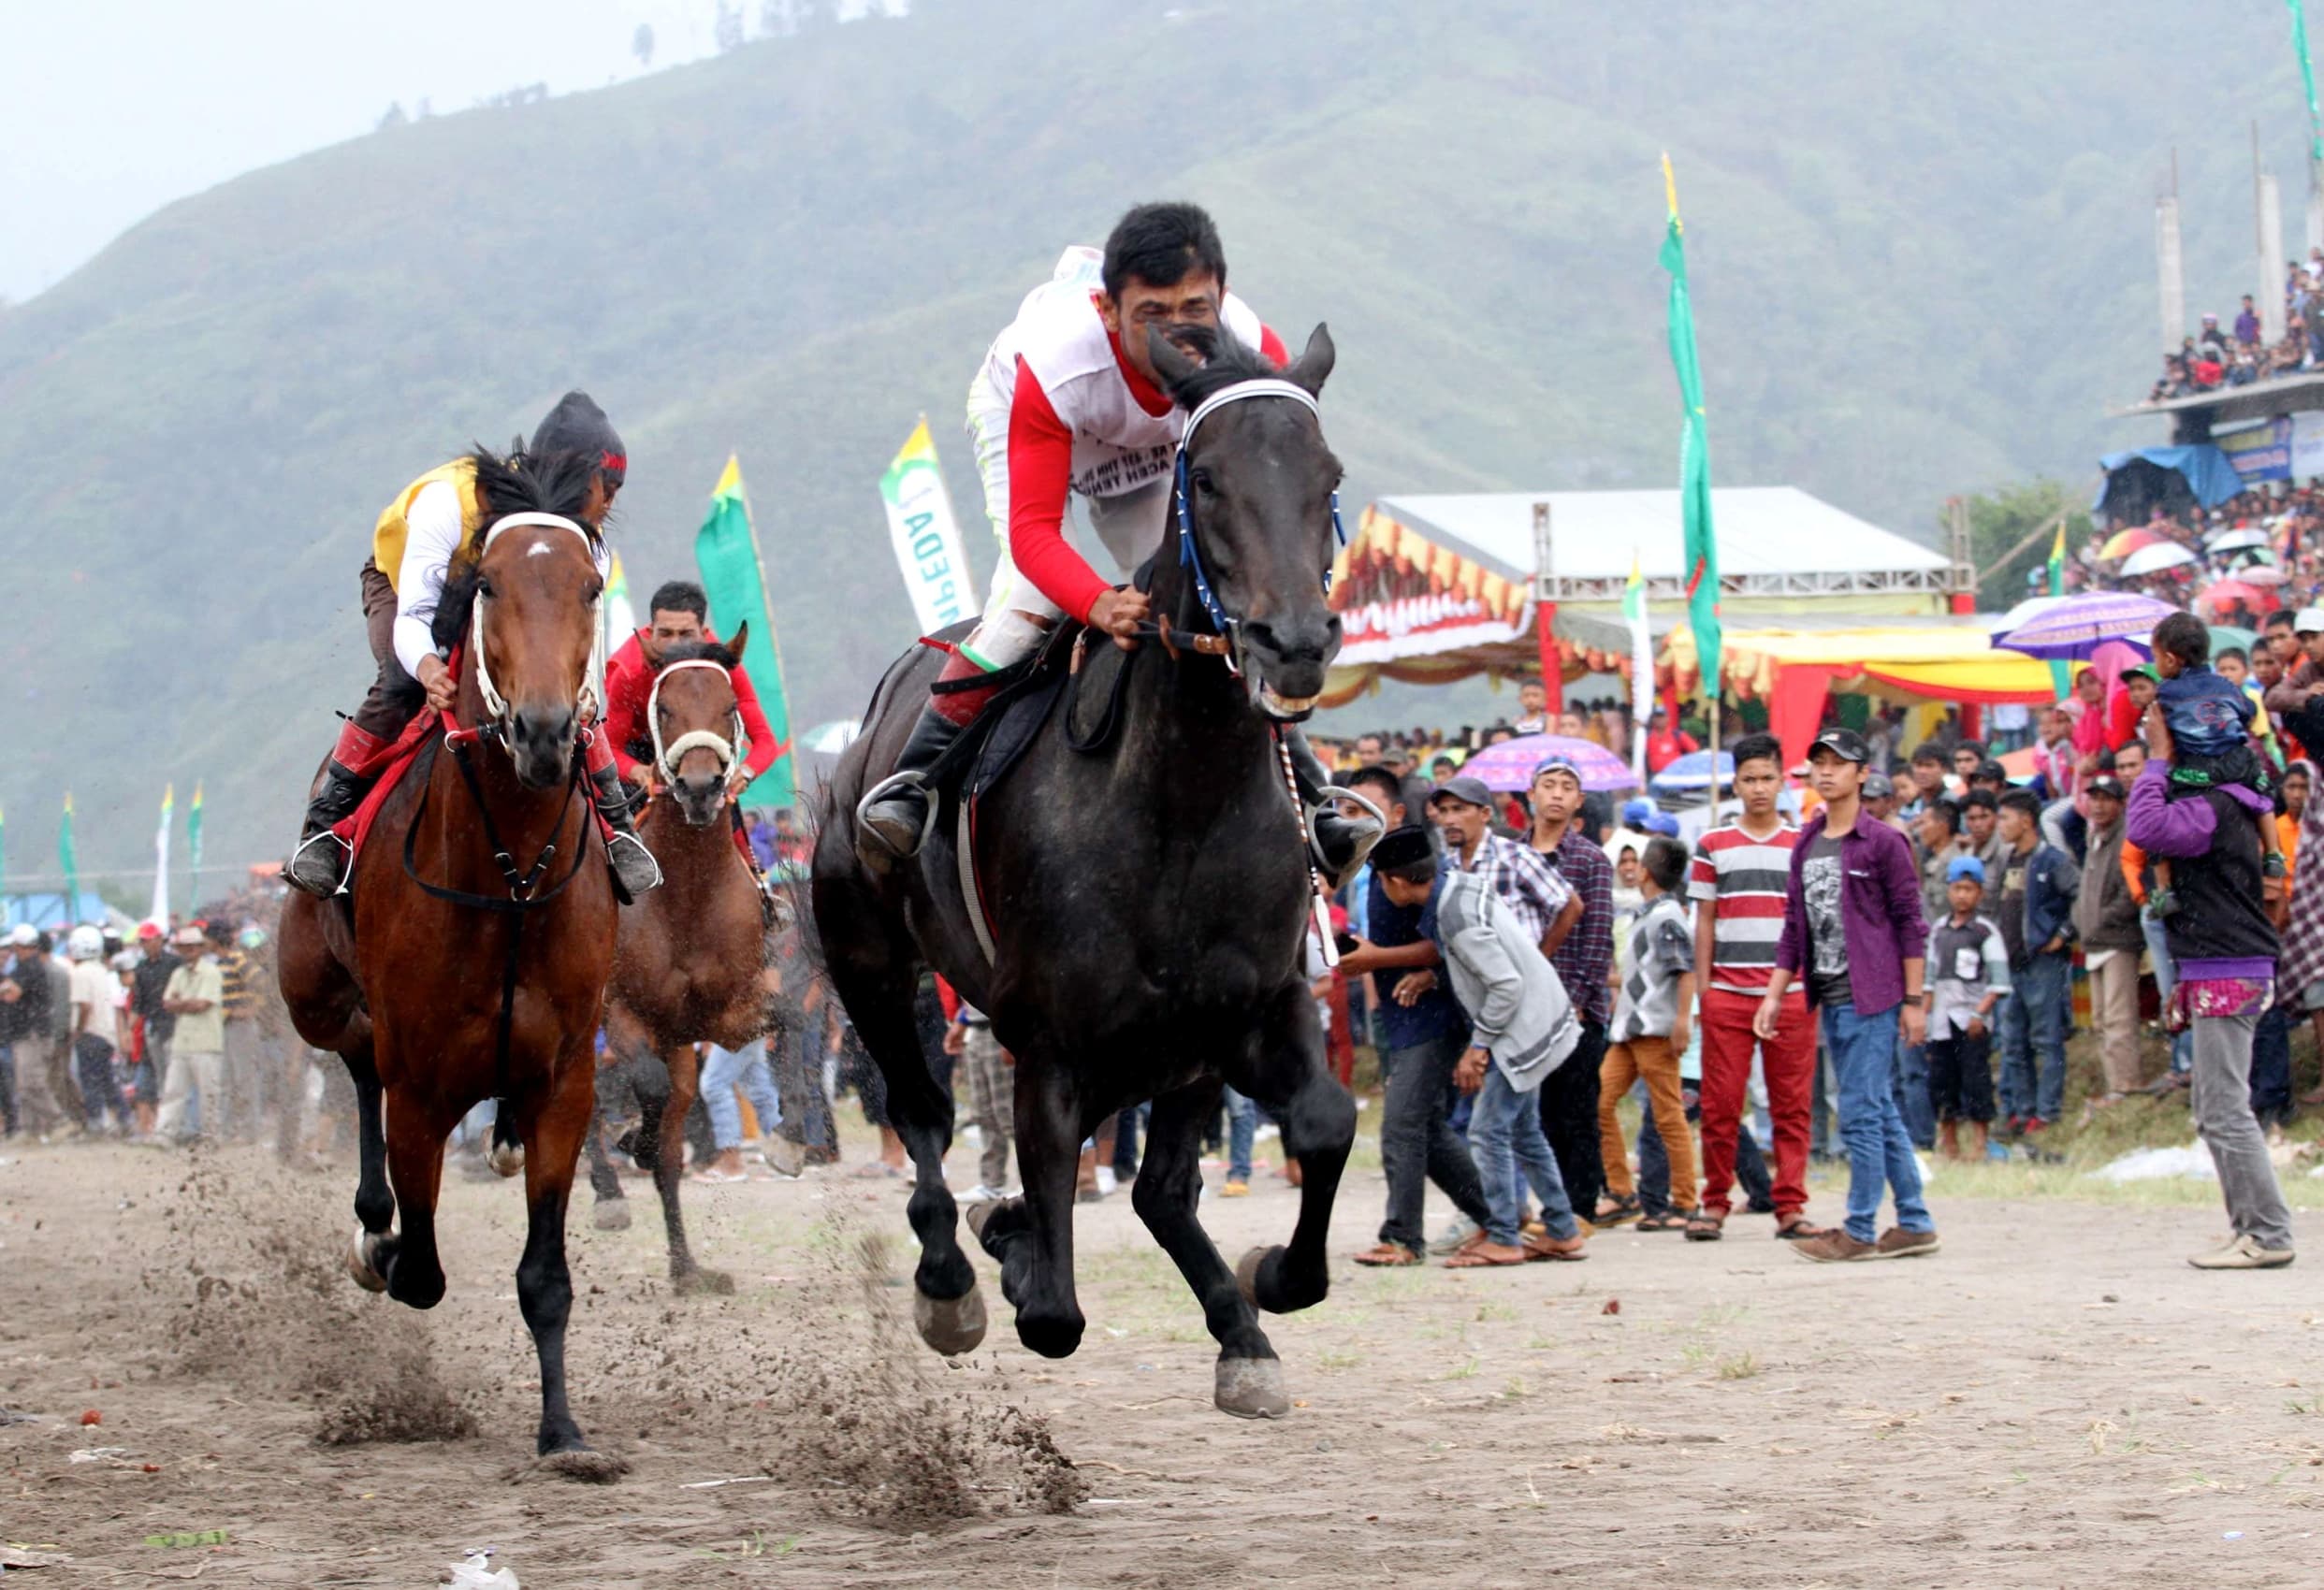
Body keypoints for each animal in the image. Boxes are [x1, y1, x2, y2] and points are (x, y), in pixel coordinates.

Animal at [276, 446, 622, 1478]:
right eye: (491, 583)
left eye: (591, 586)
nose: (545, 733)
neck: (508, 873)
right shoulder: (422, 1082)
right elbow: (421, 1268)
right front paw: (380, 1246)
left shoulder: (567, 1079)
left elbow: (545, 1276)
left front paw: (564, 1432)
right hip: (313, 994)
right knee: (354, 1061)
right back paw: (371, 1220)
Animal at [594, 632, 776, 1292]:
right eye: (665, 707)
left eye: (730, 707)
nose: (700, 788)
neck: (689, 893)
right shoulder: (622, 1010)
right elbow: (644, 1086)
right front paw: (633, 1141)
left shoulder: (722, 1014)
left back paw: (686, 1267)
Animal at [818, 323, 1357, 1413]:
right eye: (1208, 478)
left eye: (1328, 476)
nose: (1292, 643)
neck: (1182, 805)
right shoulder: (1054, 1044)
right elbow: (1054, 1312)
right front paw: (1012, 1250)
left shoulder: (1256, 1004)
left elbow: (1325, 1120)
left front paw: (1277, 1275)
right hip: (868, 961)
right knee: (924, 1114)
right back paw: (952, 1275)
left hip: (1178, 1048)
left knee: (1159, 1188)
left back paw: (1238, 1330)